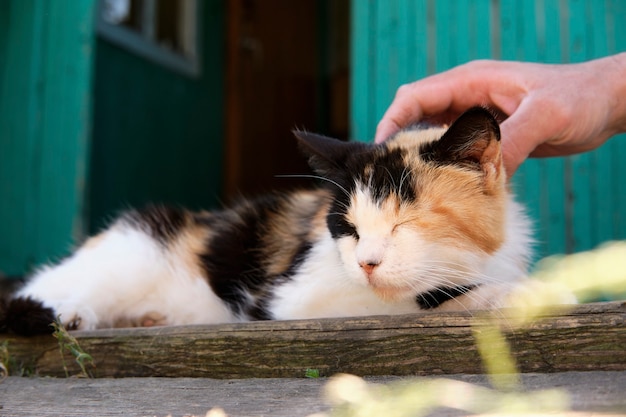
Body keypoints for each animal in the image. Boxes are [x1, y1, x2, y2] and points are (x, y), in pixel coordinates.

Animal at [0, 106, 532, 334]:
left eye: (404, 225)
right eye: (349, 229)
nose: (365, 263)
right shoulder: (297, 298)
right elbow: (421, 297)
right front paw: (508, 295)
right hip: (130, 250)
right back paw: (69, 313)